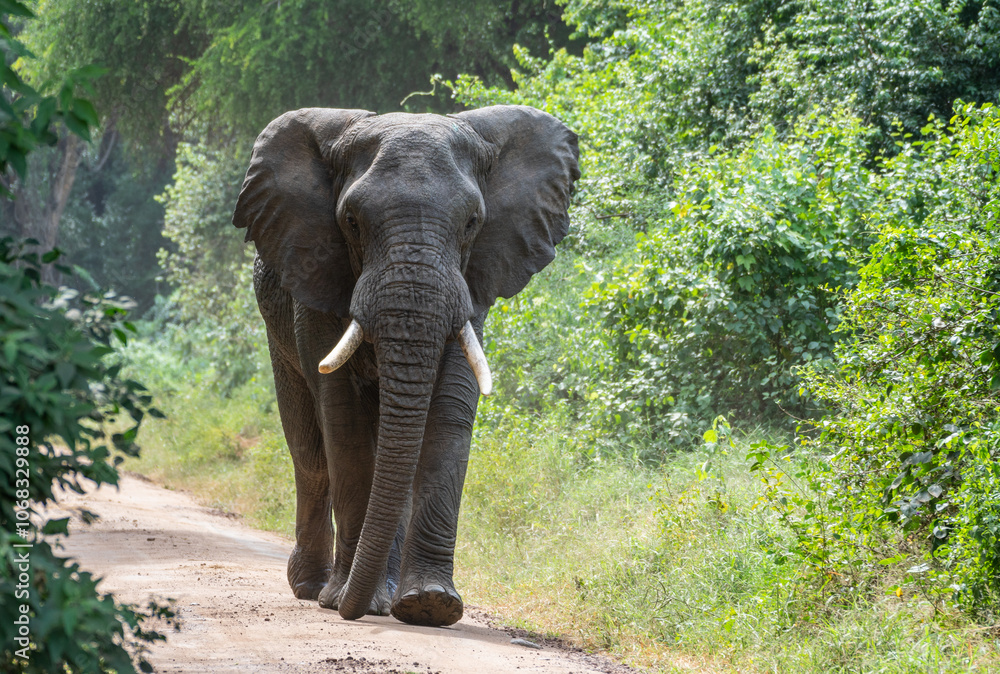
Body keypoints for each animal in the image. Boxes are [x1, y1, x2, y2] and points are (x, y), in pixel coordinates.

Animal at [232, 105, 579, 627]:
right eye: (351, 222)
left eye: (473, 222)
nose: (347, 613)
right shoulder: (316, 280)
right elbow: (345, 424)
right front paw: (345, 600)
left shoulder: (472, 284)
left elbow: (448, 416)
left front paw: (431, 605)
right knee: (311, 455)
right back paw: (317, 588)